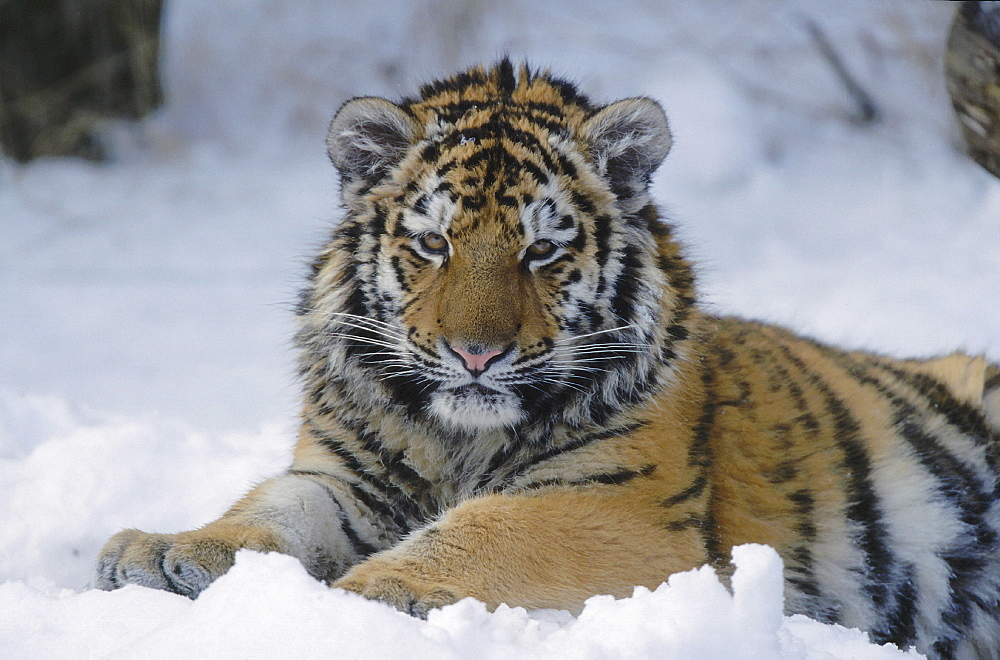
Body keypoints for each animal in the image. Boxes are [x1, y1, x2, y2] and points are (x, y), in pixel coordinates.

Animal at [95, 59, 1000, 656]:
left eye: (541, 251)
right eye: (434, 245)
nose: (476, 354)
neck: (454, 439)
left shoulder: (616, 507)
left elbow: (485, 532)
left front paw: (366, 594)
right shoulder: (347, 476)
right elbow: (270, 509)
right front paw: (165, 551)